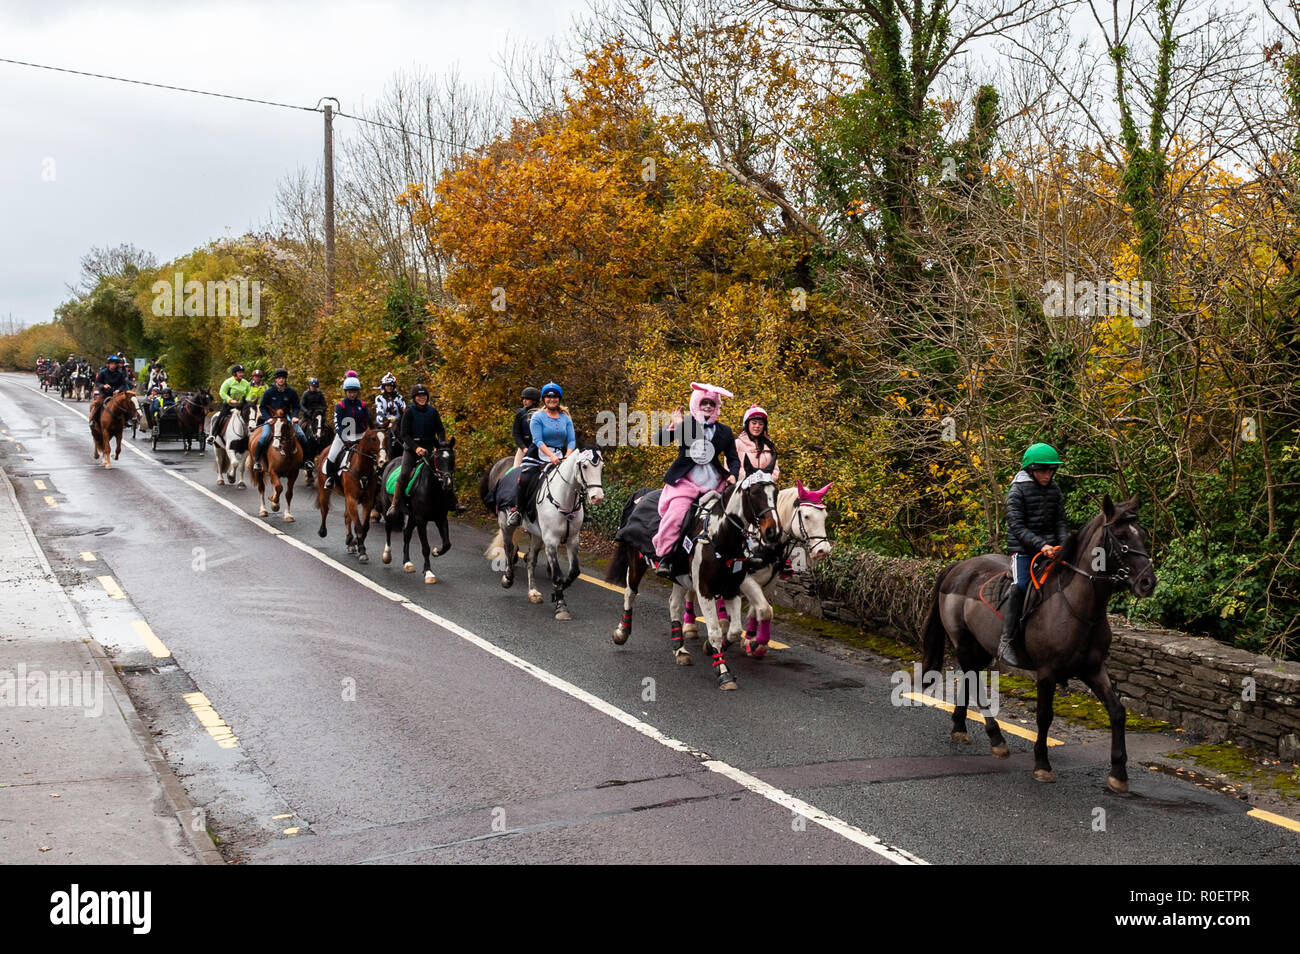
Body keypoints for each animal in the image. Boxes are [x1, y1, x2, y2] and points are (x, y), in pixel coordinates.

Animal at [313, 428, 384, 564]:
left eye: (387, 438)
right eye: (373, 439)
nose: (383, 460)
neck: (362, 468)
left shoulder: (368, 501)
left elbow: (364, 527)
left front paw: (356, 543)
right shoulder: (352, 499)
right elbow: (359, 526)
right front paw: (362, 551)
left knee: (347, 516)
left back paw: (350, 541)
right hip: (324, 490)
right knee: (325, 510)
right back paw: (322, 531)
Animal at [377, 439, 457, 582]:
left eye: (453, 458)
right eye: (438, 458)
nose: (447, 483)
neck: (433, 490)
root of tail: (391, 462)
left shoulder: (441, 518)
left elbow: (447, 544)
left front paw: (436, 552)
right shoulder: (421, 520)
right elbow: (425, 547)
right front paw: (428, 572)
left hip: (412, 517)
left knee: (407, 534)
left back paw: (407, 563)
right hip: (388, 508)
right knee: (388, 528)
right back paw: (387, 555)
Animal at [486, 447, 605, 621]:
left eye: (601, 467)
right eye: (584, 466)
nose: (598, 497)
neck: (565, 500)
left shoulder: (573, 540)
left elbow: (574, 571)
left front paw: (557, 592)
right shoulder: (550, 540)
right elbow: (557, 575)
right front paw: (561, 606)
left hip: (536, 535)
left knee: (531, 560)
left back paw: (533, 592)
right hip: (506, 524)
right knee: (509, 548)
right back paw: (508, 578)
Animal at [603, 473, 774, 691]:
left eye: (776, 492)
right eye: (754, 493)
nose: (771, 532)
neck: (720, 537)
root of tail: (643, 494)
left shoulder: (732, 588)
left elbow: (735, 630)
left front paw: (711, 648)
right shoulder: (705, 590)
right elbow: (715, 631)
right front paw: (723, 672)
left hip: (679, 577)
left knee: (674, 605)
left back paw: (680, 649)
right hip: (636, 561)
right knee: (630, 593)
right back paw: (622, 632)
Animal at [915, 493, 1159, 790]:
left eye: (1142, 534)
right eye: (1121, 537)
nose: (1148, 582)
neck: (1077, 606)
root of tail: (958, 567)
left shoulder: (1093, 669)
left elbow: (1118, 711)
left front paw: (1118, 773)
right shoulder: (1047, 671)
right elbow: (1044, 715)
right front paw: (1042, 764)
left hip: (981, 647)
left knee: (970, 679)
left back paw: (960, 728)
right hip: (962, 641)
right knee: (976, 683)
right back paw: (996, 738)